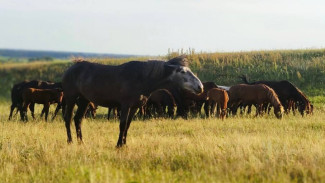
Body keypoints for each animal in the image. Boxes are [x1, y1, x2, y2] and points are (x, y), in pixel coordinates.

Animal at [61, 55, 202, 147]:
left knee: (78, 119)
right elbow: (122, 125)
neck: (141, 78)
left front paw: (124, 144)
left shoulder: (134, 107)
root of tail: (72, 67)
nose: (200, 87)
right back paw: (70, 141)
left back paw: (81, 142)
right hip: (71, 98)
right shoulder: (125, 106)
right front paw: (119, 145)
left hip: (84, 100)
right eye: (182, 71)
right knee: (68, 118)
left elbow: (128, 125)